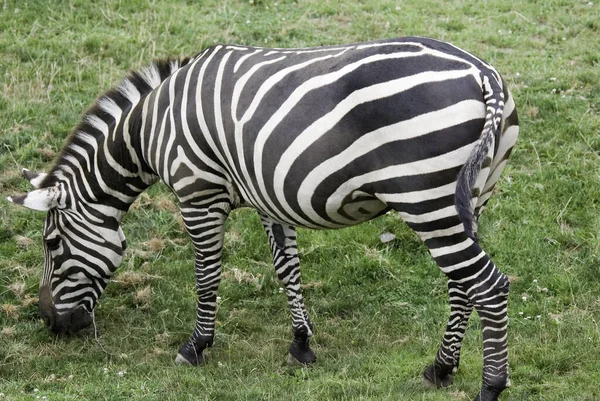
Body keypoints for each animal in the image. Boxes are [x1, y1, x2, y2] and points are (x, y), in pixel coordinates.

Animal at [7, 36, 516, 396]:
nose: (50, 323)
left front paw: (196, 346)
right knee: (462, 286)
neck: (149, 128)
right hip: (470, 197)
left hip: (425, 195)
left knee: (488, 285)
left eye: (52, 244)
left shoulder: (198, 192)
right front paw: (301, 344)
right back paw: (441, 368)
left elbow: (207, 275)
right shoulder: (271, 195)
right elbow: (286, 269)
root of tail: (482, 73)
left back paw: (489, 386)